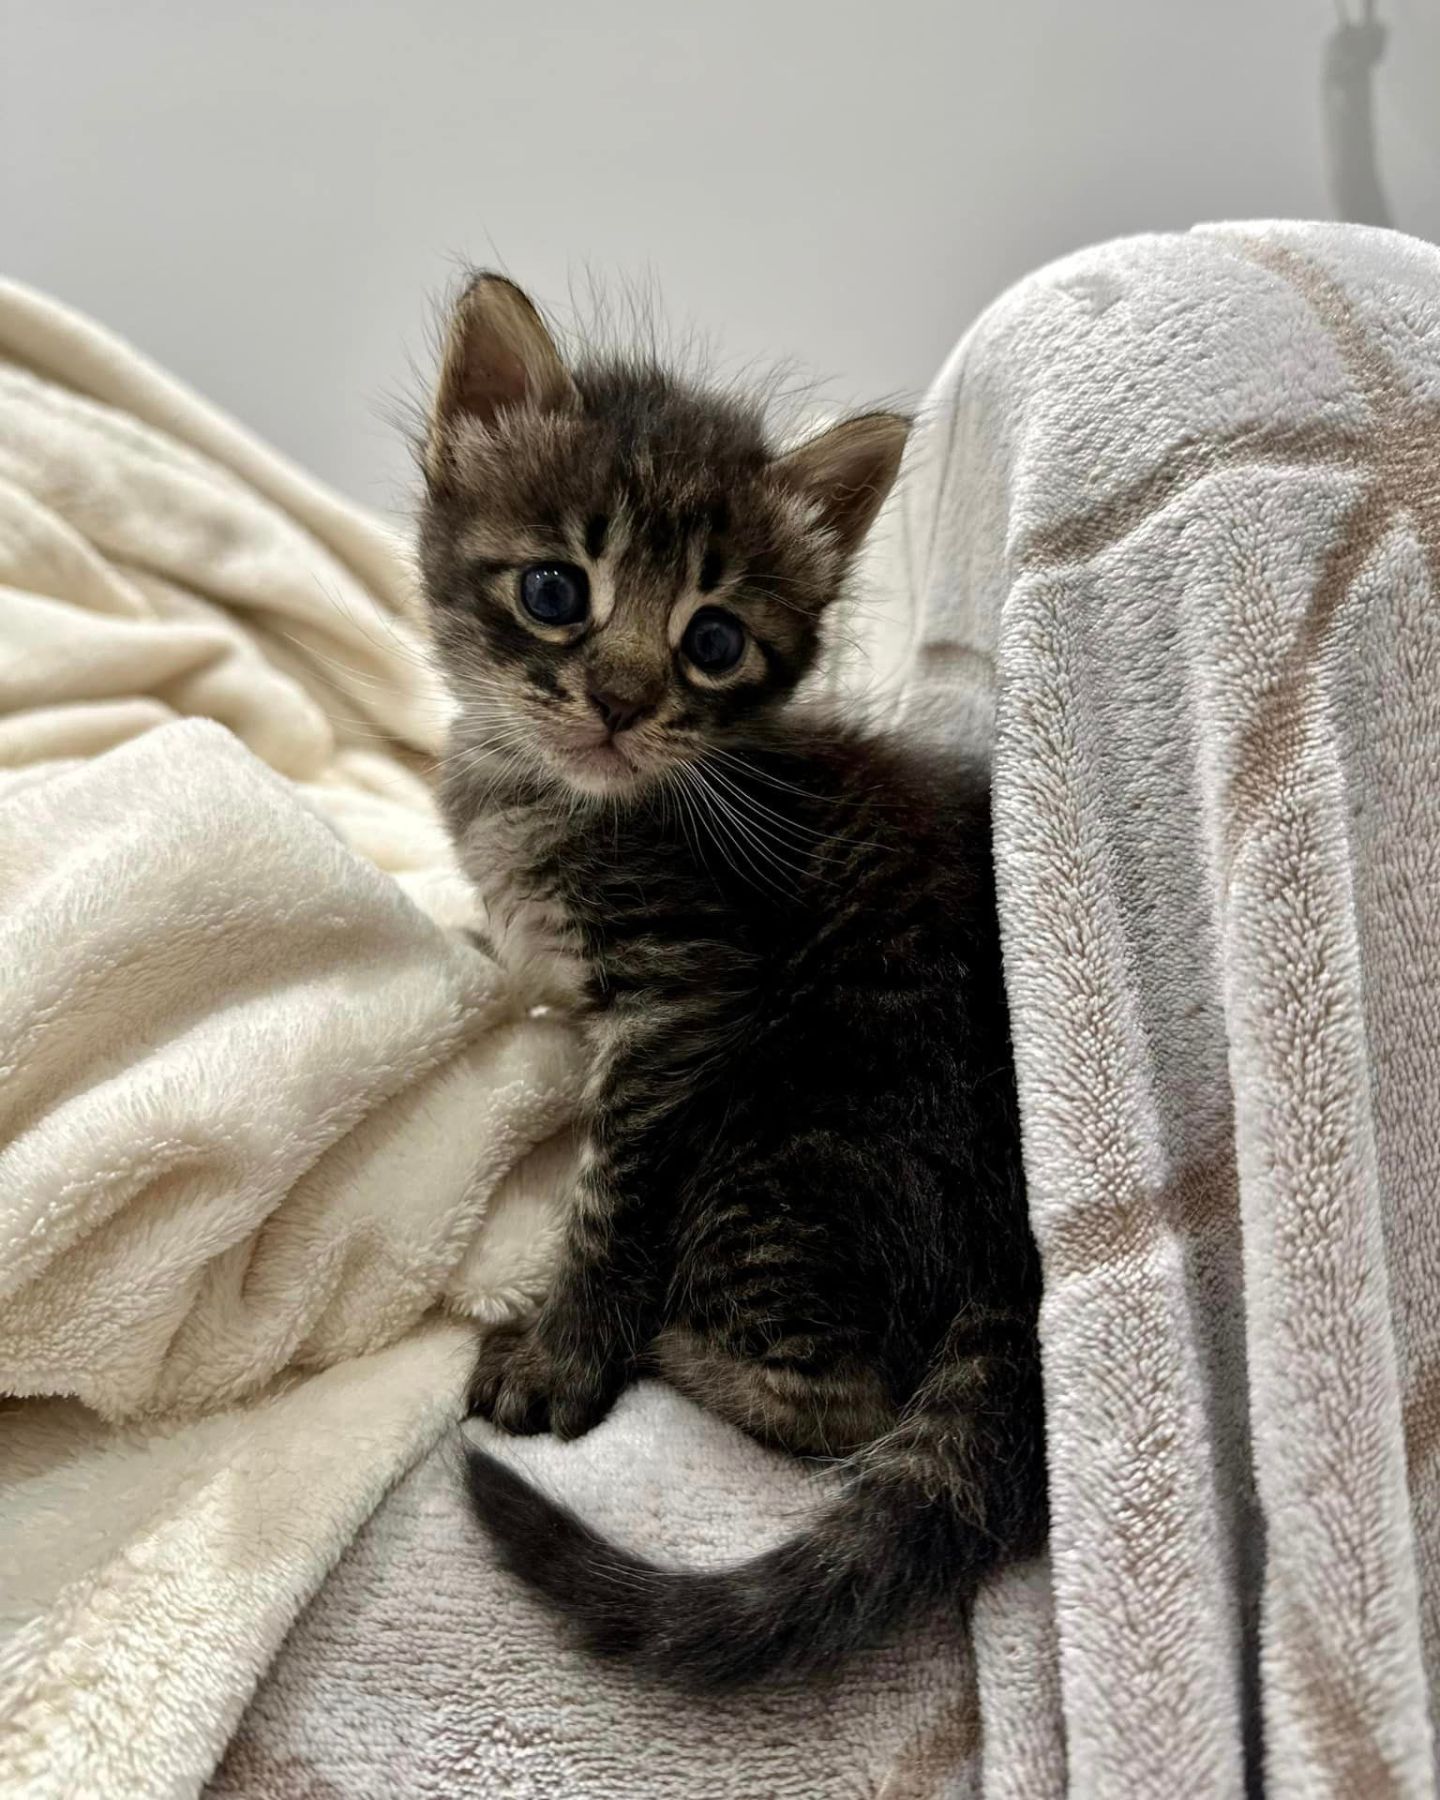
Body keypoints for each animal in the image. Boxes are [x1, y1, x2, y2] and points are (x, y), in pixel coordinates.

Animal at [415, 273, 1044, 1692]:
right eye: (555, 590)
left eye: (712, 641)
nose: (617, 699)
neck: (559, 799)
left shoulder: (688, 1001)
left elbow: (613, 1194)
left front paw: (564, 1354)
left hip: (786, 1151)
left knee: (845, 1408)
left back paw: (670, 1353)